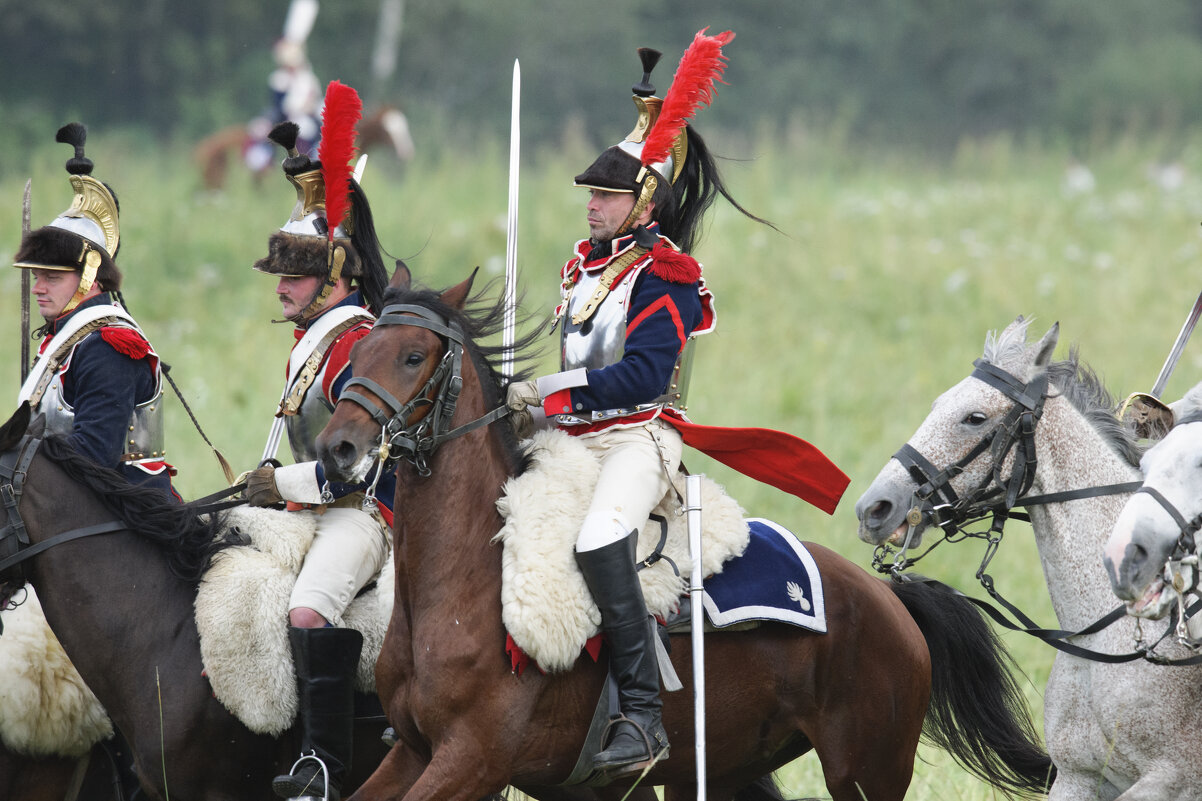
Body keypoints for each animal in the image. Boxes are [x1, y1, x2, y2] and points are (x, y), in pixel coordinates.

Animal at [310, 267, 1052, 798]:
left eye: (412, 355)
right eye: (359, 349)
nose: (337, 449)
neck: (464, 582)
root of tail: (887, 597)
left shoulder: (470, 761)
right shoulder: (415, 753)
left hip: (866, 772)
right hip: (731, 770)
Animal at [855, 317, 1202, 798]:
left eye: (975, 418)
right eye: (938, 404)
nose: (873, 509)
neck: (1100, 641)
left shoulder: (1172, 779)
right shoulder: (1077, 777)